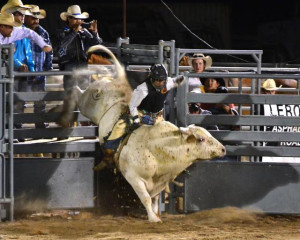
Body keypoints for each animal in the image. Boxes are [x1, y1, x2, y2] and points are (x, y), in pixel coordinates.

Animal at [58, 45, 225, 223]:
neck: (159, 150)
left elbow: (154, 199)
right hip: (86, 103)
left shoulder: (159, 181)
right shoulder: (134, 178)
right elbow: (145, 198)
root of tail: (116, 81)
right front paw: (153, 218)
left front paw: (155, 213)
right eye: (201, 139)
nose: (223, 149)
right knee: (77, 92)